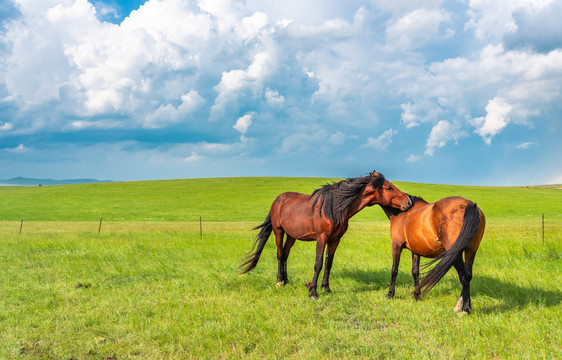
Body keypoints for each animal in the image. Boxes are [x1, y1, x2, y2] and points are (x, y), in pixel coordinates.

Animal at [238, 170, 410, 300]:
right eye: (388, 187)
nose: (408, 202)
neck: (333, 208)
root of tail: (278, 200)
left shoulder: (335, 240)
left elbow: (328, 264)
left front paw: (326, 288)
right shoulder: (321, 238)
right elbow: (318, 264)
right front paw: (313, 292)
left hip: (292, 236)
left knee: (285, 254)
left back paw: (287, 281)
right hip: (278, 231)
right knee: (280, 254)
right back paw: (279, 282)